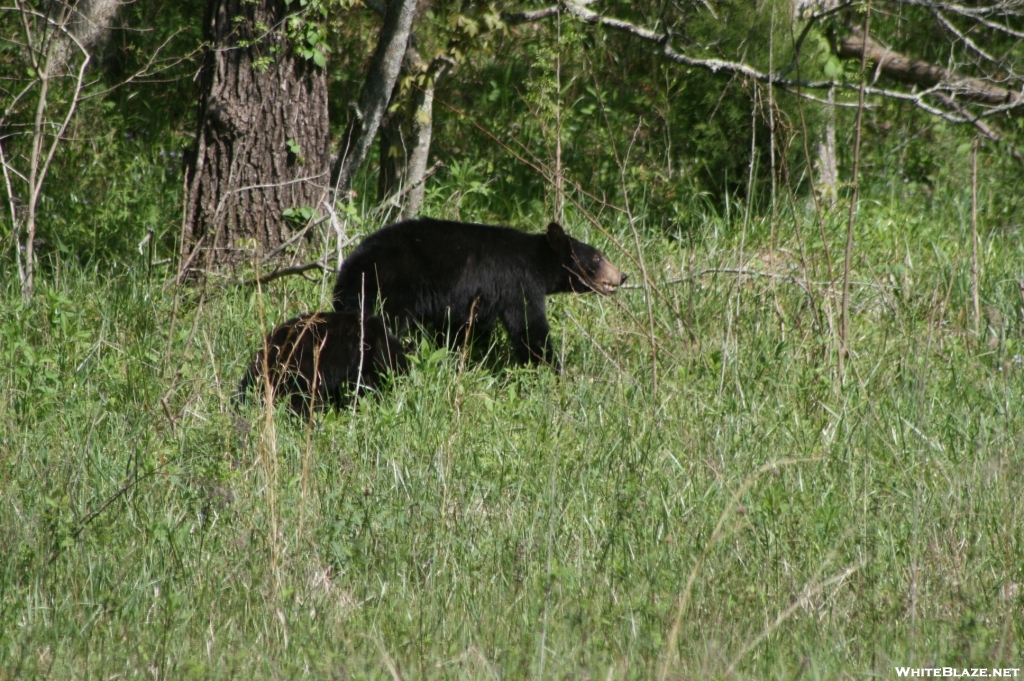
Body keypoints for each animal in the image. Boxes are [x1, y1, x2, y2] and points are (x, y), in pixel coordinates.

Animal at [333, 218, 622, 366]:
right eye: (598, 257)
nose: (622, 275)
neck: (537, 261)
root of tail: (349, 271)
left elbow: (464, 329)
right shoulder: (518, 283)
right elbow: (529, 327)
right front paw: (549, 368)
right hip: (387, 289)